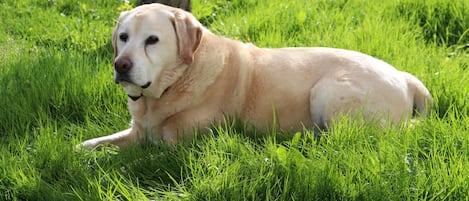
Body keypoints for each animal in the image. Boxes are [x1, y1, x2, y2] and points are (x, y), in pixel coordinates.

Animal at [77, 3, 432, 150]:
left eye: (152, 40)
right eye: (123, 37)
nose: (121, 65)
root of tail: (405, 77)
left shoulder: (174, 144)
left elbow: (126, 154)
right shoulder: (137, 130)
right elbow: (94, 144)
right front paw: (82, 149)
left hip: (328, 91)